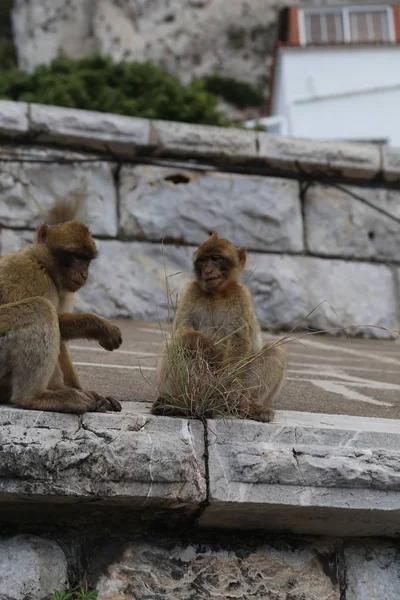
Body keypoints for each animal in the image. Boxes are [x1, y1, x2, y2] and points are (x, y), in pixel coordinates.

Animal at [0, 210, 123, 412]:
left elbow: (62, 338)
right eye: (75, 256)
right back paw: (33, 397)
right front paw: (101, 326)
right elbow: (55, 318)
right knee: (41, 308)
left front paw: (84, 391)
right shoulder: (30, 274)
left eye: (86, 260)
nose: (84, 274)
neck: (44, 265)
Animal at [153, 232, 288, 420]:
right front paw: (207, 346)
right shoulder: (191, 291)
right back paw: (177, 403)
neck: (216, 294)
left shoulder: (241, 298)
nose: (208, 270)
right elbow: (181, 331)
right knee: (176, 345)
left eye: (216, 259)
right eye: (203, 260)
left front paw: (227, 385)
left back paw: (244, 406)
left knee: (276, 349)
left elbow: (239, 341)